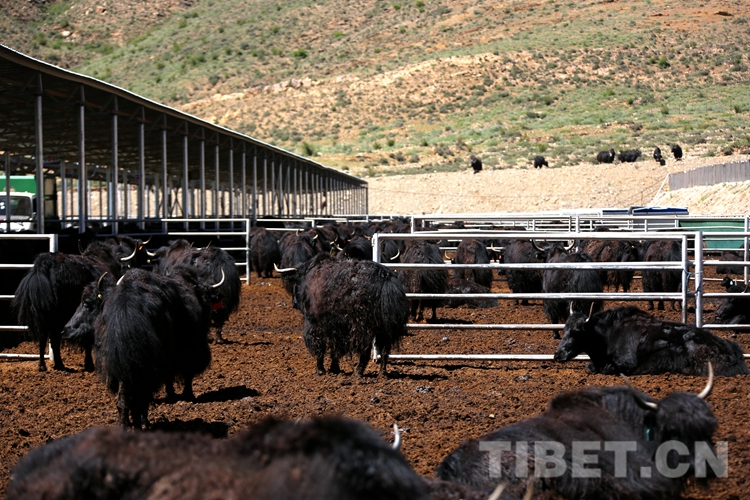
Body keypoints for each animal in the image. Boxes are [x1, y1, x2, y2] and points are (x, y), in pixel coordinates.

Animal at [277, 254, 409, 377]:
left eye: (296, 282)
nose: (294, 303)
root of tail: (384, 277)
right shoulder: (336, 327)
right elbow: (335, 347)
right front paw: (334, 368)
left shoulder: (315, 323)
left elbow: (320, 345)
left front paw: (320, 370)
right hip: (384, 328)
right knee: (385, 349)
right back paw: (382, 373)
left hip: (364, 326)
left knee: (365, 349)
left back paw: (358, 372)